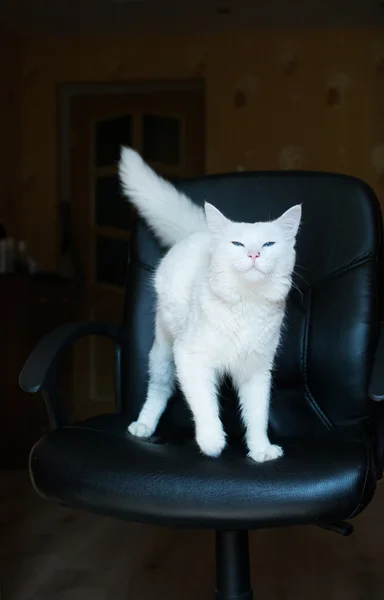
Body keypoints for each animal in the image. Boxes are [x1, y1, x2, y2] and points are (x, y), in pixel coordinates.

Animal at [118, 146, 302, 464]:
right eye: (238, 245)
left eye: (268, 245)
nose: (254, 254)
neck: (246, 304)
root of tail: (200, 232)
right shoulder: (191, 358)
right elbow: (206, 406)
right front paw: (212, 442)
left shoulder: (257, 371)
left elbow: (257, 415)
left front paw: (261, 450)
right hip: (163, 352)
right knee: (158, 390)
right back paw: (143, 426)